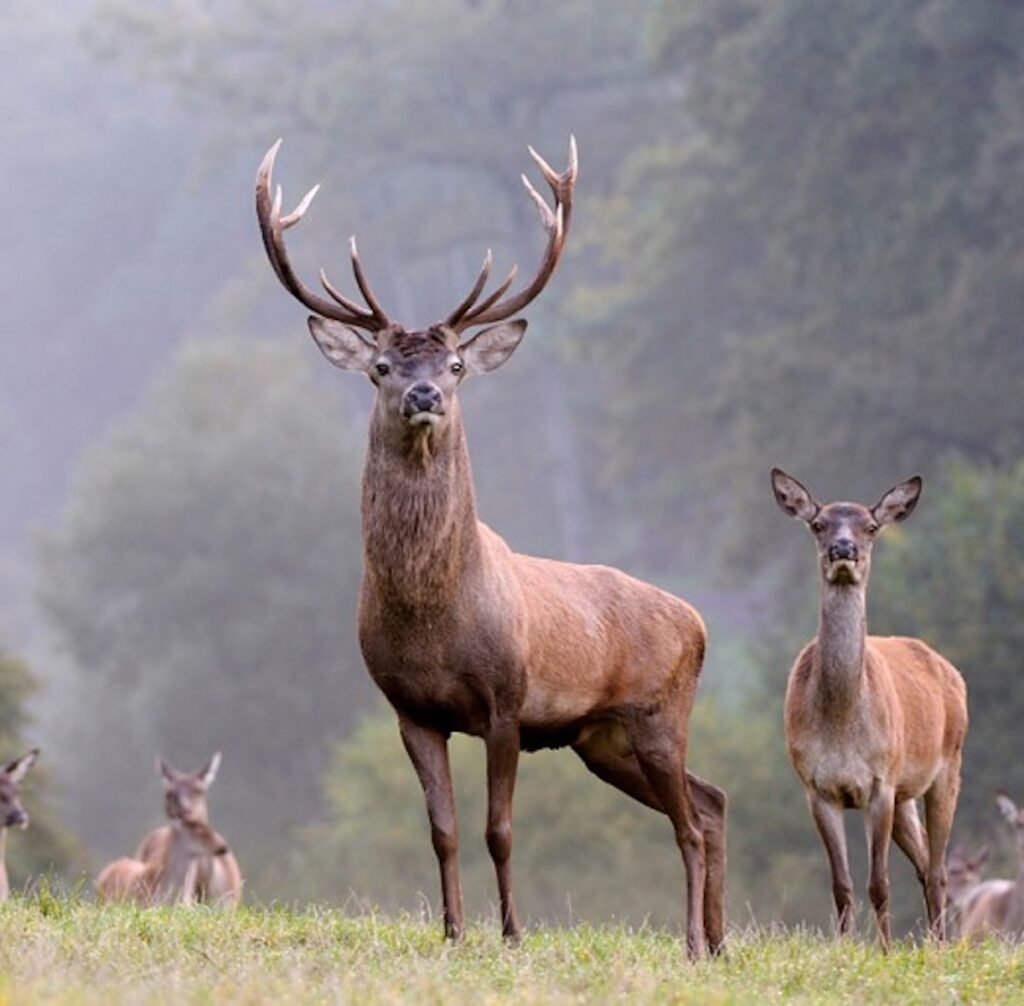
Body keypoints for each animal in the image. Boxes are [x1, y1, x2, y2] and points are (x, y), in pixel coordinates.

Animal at [256, 136, 729, 958]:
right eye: (382, 366)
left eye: (454, 365)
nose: (424, 396)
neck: (434, 618)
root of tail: (697, 622)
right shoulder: (410, 710)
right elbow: (443, 831)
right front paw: (451, 931)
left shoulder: (508, 700)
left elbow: (499, 830)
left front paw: (511, 932)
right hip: (603, 740)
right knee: (711, 801)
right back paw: (720, 939)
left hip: (659, 713)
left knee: (692, 824)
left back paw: (696, 945)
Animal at [774, 473, 966, 954]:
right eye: (818, 524)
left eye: (872, 527)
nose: (844, 549)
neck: (842, 726)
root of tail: (952, 672)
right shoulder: (817, 787)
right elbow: (841, 884)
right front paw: (844, 949)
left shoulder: (881, 781)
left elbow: (878, 882)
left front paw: (884, 950)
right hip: (905, 797)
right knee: (924, 863)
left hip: (946, 768)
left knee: (937, 869)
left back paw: (939, 947)